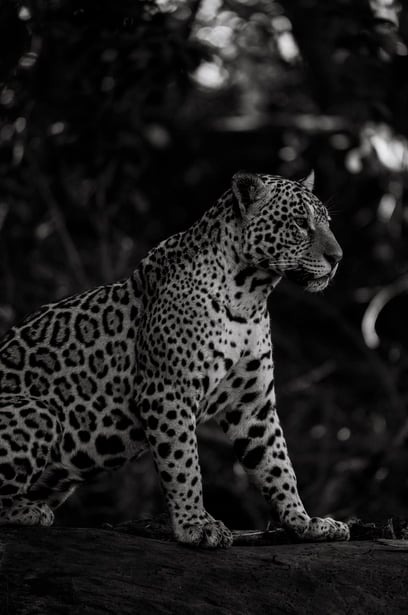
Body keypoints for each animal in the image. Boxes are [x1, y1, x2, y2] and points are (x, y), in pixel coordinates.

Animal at [0, 170, 350, 548]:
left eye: (327, 223)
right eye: (299, 223)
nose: (338, 257)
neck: (250, 296)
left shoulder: (253, 405)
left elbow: (278, 465)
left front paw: (306, 522)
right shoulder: (168, 393)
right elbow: (184, 465)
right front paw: (196, 524)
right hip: (41, 413)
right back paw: (30, 511)